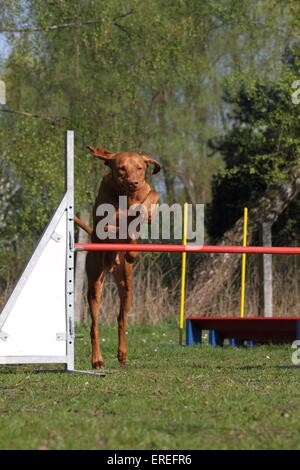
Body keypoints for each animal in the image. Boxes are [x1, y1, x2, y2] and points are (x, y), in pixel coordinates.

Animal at [74, 145, 161, 370]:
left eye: (140, 168)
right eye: (121, 168)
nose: (134, 182)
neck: (126, 195)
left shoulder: (147, 194)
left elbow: (152, 195)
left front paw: (144, 210)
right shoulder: (106, 223)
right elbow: (118, 221)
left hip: (126, 287)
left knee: (121, 320)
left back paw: (122, 353)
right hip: (95, 284)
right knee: (94, 326)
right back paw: (97, 359)